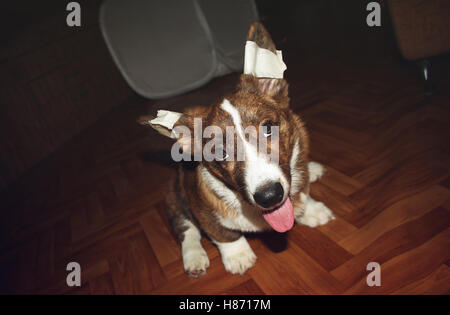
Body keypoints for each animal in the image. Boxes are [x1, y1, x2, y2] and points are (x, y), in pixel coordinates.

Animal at [138, 22, 334, 278]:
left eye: (268, 127)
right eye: (220, 152)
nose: (269, 196)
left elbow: (302, 193)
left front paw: (312, 210)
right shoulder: (203, 211)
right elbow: (224, 234)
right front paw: (238, 256)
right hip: (174, 197)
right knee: (186, 229)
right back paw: (195, 258)